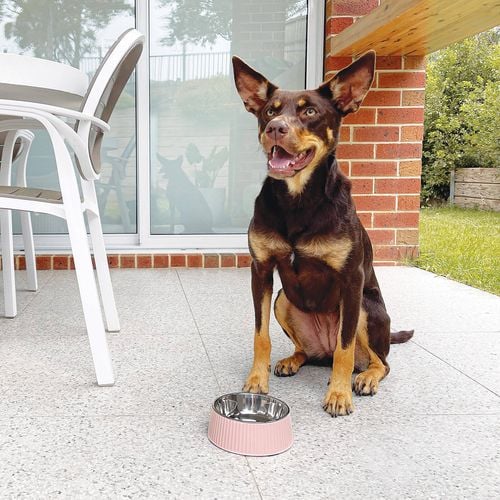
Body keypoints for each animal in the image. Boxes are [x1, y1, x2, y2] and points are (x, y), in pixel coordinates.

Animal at [232, 52, 412, 416]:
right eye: (269, 110)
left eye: (310, 112)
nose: (275, 128)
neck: (297, 201)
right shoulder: (261, 271)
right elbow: (261, 335)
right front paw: (257, 380)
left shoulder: (351, 280)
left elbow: (345, 348)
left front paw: (338, 395)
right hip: (283, 300)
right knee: (310, 353)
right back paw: (292, 360)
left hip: (366, 308)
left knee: (377, 361)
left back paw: (365, 377)